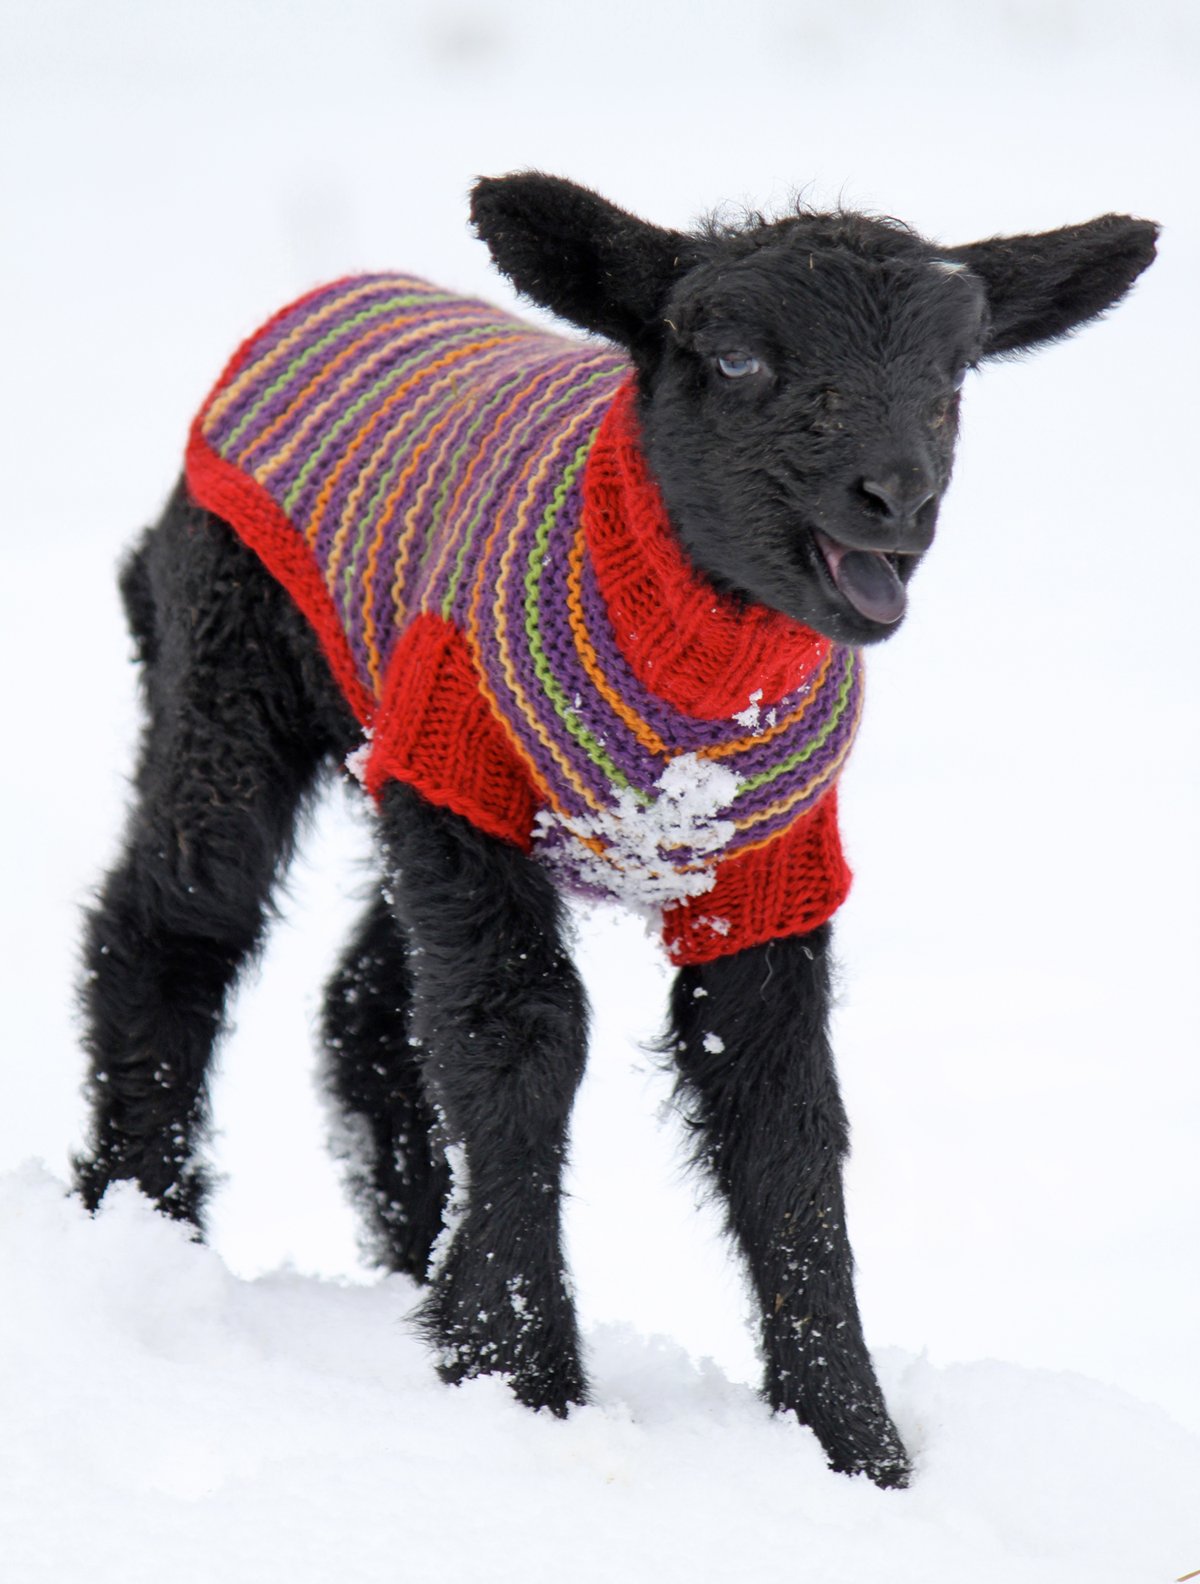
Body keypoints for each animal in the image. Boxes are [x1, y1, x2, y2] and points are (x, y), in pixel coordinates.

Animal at [75, 172, 1157, 1487]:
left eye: (955, 377)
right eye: (736, 359)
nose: (898, 498)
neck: (702, 669)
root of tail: (337, 293)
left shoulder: (770, 863)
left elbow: (781, 1107)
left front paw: (852, 1442)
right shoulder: (466, 768)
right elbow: (522, 1042)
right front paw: (522, 1373)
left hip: (406, 767)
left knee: (370, 1006)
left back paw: (413, 1264)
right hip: (241, 669)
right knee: (174, 926)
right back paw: (147, 1224)